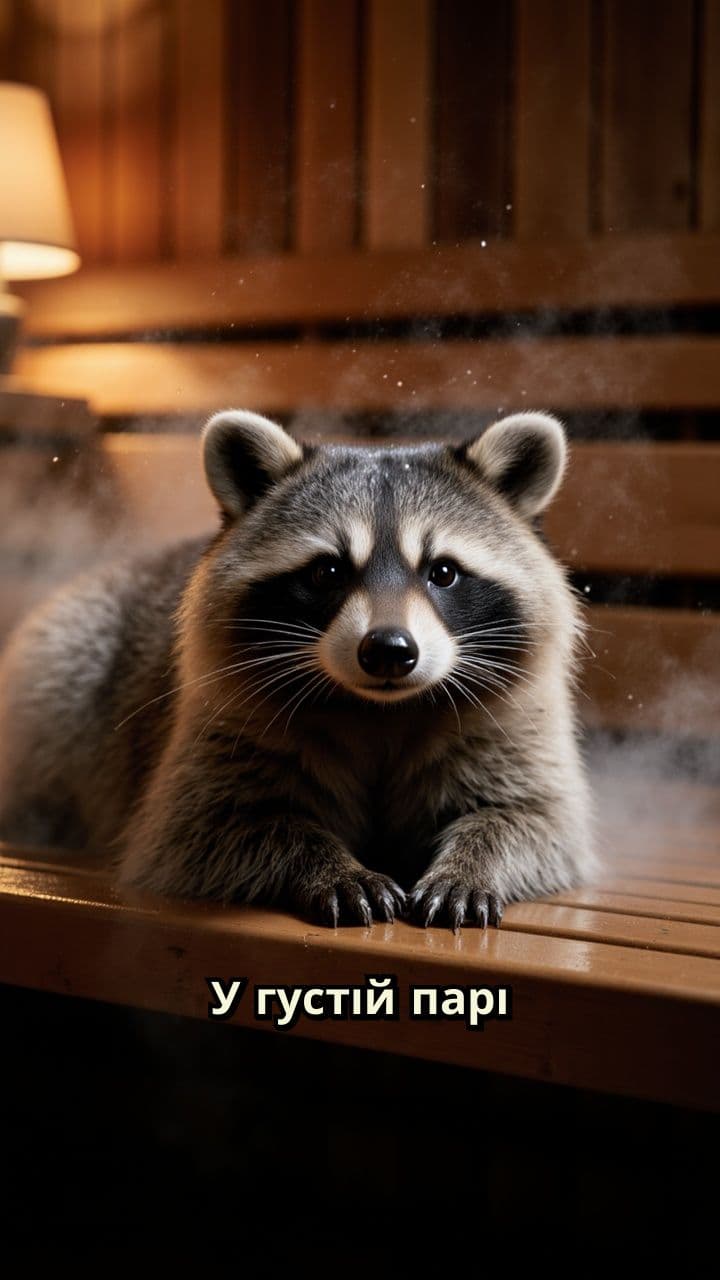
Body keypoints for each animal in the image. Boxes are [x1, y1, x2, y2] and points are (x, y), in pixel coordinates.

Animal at [0, 409, 595, 928]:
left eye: (443, 572)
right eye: (328, 572)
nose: (388, 649)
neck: (380, 708)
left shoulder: (513, 719)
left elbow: (537, 820)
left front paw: (472, 863)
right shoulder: (222, 715)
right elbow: (200, 828)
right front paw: (326, 864)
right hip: (69, 661)